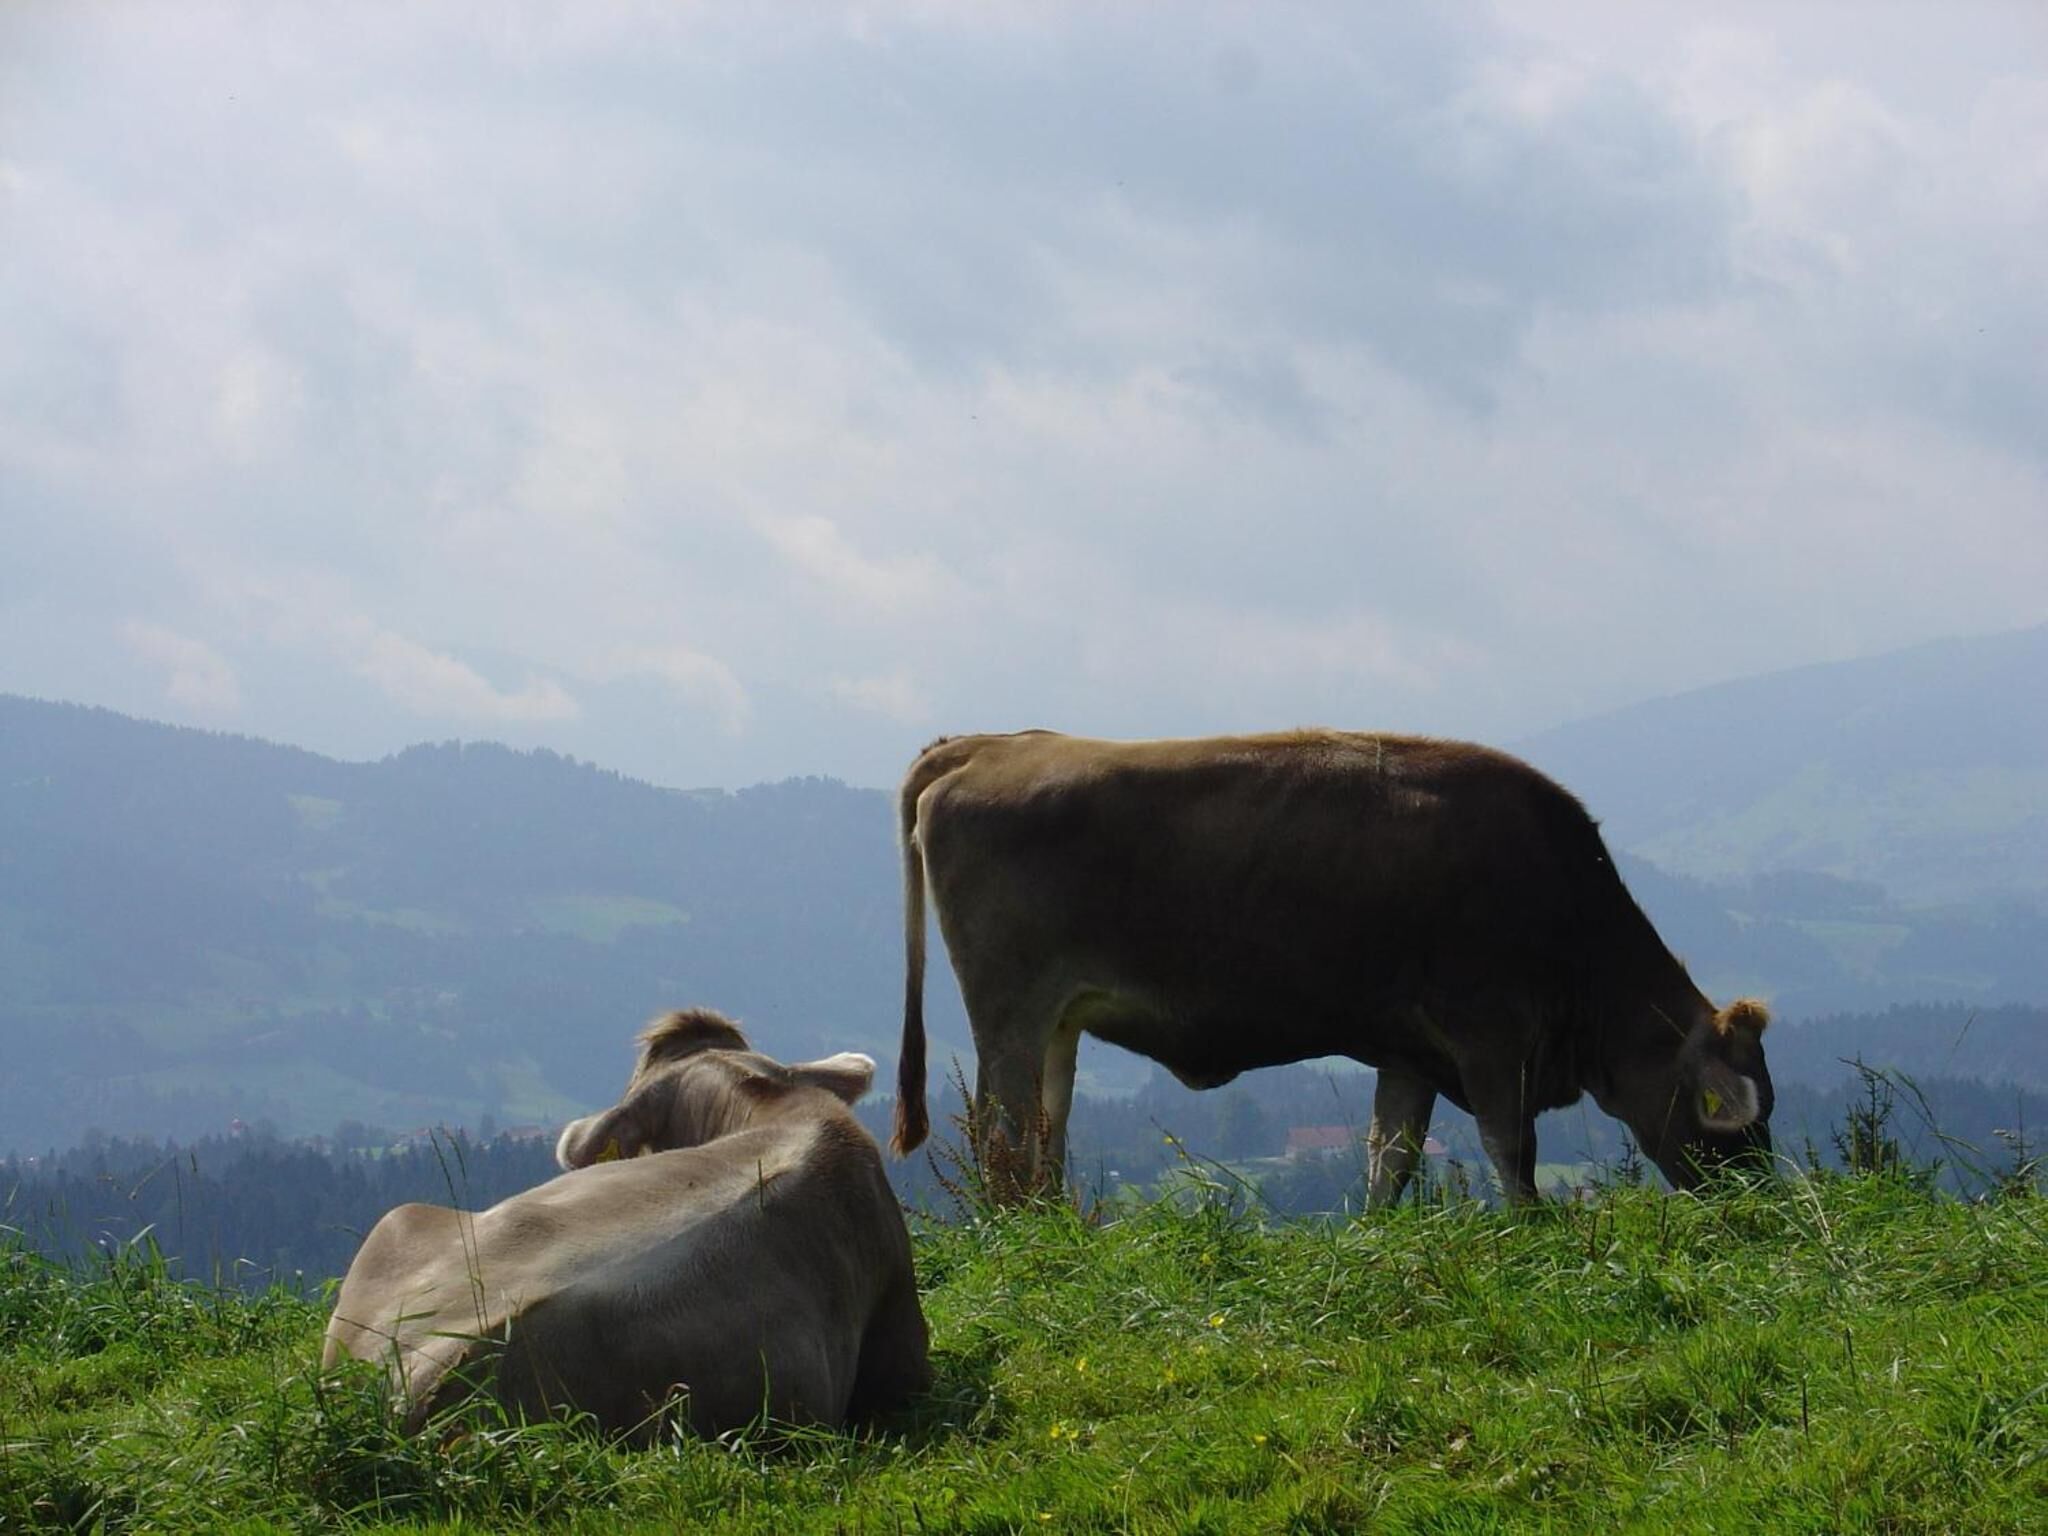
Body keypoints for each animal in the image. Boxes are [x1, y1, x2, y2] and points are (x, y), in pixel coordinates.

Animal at [888, 729, 1774, 1205]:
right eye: (1732, 1116)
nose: (1758, 1198)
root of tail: (985, 745)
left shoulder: (1410, 1053)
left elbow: (1392, 1156)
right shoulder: (1492, 1041)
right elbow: (1510, 1152)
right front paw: (1532, 1228)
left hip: (1058, 1026)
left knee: (1045, 1134)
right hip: (1009, 1016)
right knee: (1002, 1137)